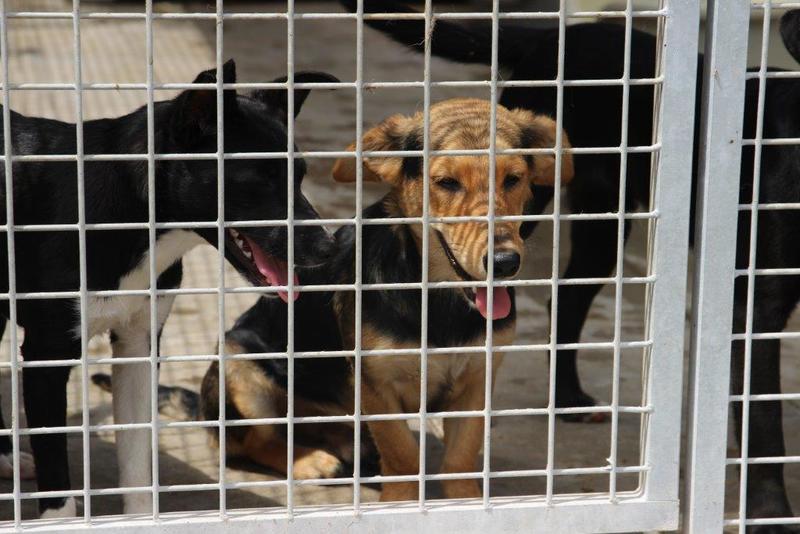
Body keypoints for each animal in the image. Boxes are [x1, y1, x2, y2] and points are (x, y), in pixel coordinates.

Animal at [0, 59, 338, 518]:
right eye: (259, 180)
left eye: (300, 175)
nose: (327, 248)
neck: (129, 210)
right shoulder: (46, 356)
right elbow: (58, 479)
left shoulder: (140, 345)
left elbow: (138, 458)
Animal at [109, 98, 574, 501]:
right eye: (446, 183)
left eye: (513, 179)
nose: (505, 262)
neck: (440, 299)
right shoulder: (376, 385)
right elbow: (403, 456)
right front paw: (402, 503)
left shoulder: (478, 382)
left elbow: (459, 459)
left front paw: (465, 502)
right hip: (240, 364)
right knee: (247, 444)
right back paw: (311, 460)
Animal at [341, 1, 800, 529]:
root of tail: (559, 33)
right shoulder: (757, 309)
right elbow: (764, 424)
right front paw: (770, 513)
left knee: (568, 297)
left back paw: (569, 397)